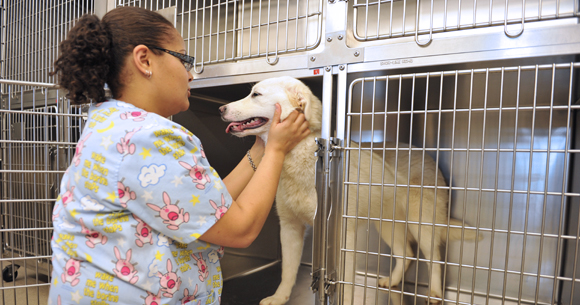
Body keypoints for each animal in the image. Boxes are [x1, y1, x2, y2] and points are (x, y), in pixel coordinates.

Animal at [220, 76, 478, 304]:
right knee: (406, 253)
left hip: (422, 224)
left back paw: (434, 293)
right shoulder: (290, 227)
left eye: (256, 94)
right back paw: (393, 281)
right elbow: (287, 273)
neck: (301, 156)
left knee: (434, 259)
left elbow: (345, 284)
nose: (221, 108)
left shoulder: (344, 235)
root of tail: (425, 154)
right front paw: (279, 298)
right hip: (387, 225)